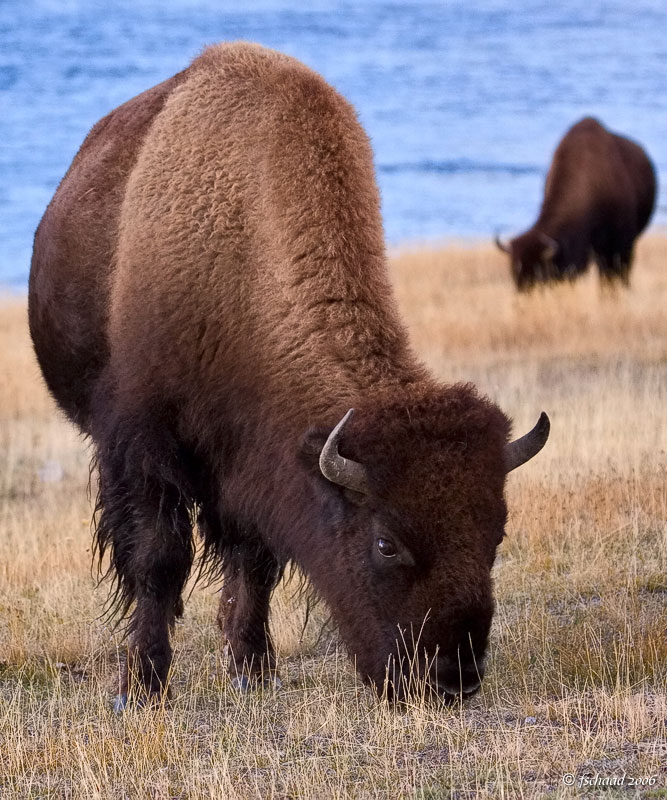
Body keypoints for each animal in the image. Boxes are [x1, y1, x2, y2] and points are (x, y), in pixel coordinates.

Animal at [28, 42, 552, 708]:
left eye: (497, 534)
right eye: (386, 544)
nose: (451, 678)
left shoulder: (254, 464)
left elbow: (256, 562)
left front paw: (253, 669)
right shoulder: (143, 447)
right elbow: (157, 561)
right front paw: (141, 686)